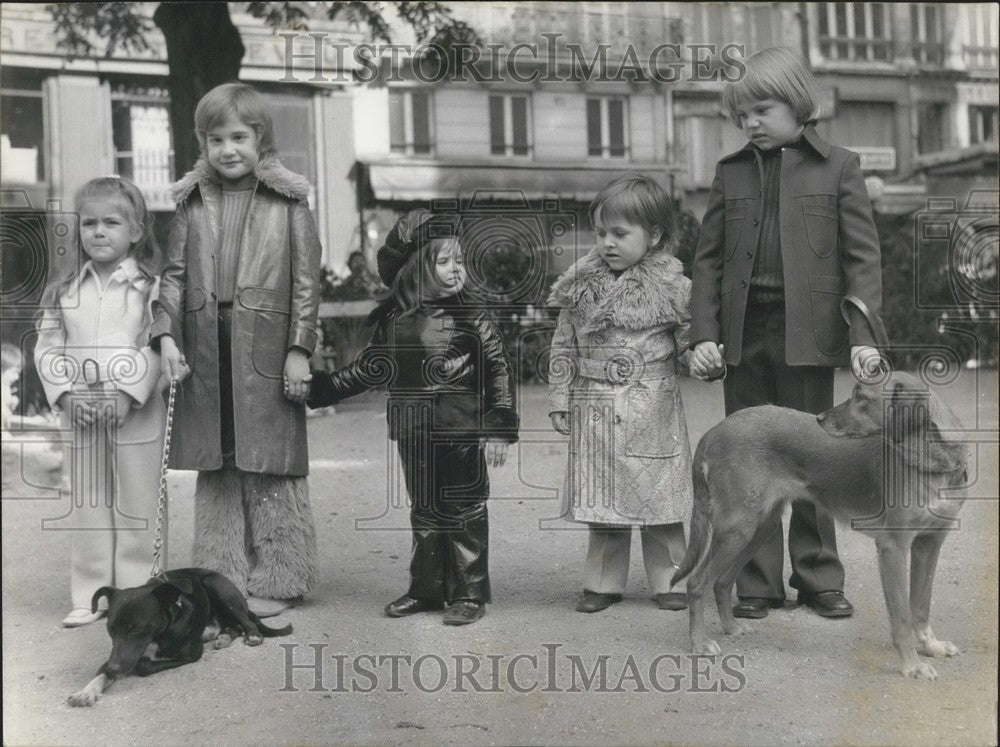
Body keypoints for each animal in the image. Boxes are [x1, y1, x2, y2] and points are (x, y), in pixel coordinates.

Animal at [67, 568, 290, 712]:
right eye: (110, 630)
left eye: (136, 631)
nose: (115, 668)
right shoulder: (115, 656)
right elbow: (101, 672)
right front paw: (86, 692)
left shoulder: (191, 654)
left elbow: (143, 666)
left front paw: (139, 664)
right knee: (231, 625)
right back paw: (222, 636)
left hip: (217, 587)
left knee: (245, 621)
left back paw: (251, 635)